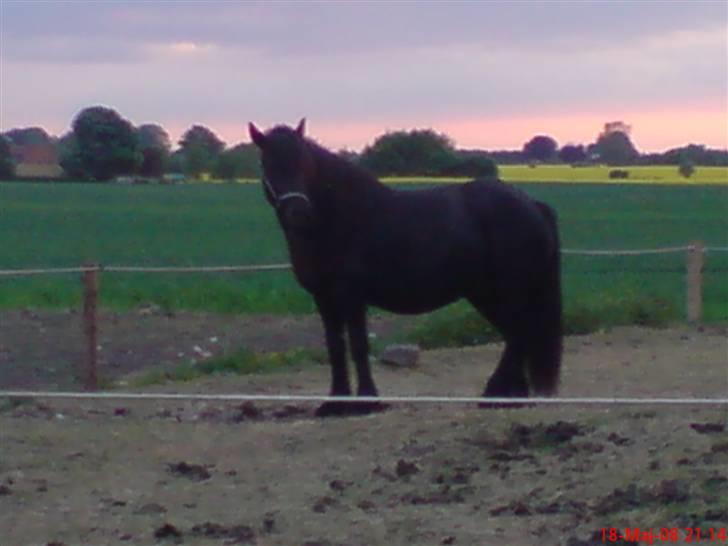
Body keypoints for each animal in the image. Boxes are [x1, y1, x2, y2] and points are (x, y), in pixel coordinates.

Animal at [249, 119, 562, 417]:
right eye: (268, 164)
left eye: (304, 162)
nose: (298, 213)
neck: (339, 219)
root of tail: (532, 204)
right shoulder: (324, 299)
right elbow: (335, 347)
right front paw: (334, 404)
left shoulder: (353, 297)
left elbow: (359, 346)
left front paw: (367, 401)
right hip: (487, 294)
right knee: (517, 334)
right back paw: (509, 396)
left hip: (506, 291)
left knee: (520, 332)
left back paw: (495, 395)